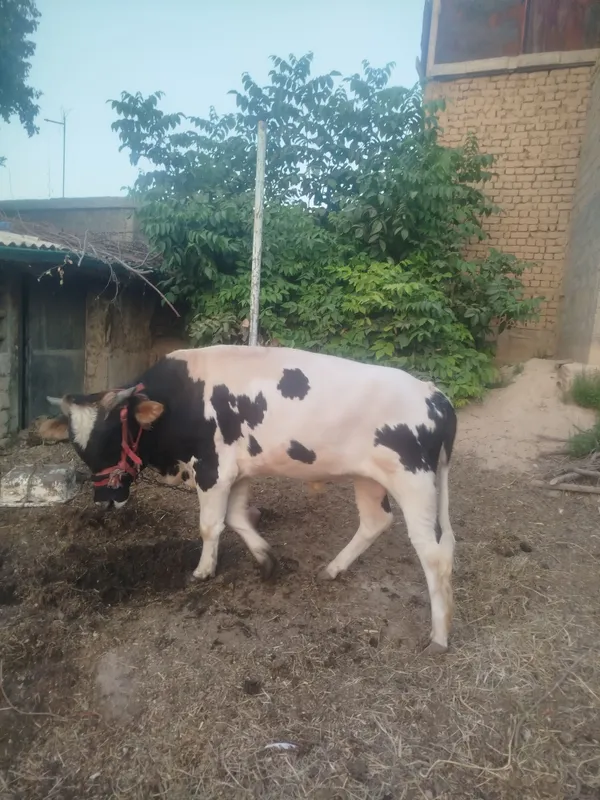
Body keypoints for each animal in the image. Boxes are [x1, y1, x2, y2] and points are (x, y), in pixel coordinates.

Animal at [39, 345, 457, 654]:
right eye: (79, 446)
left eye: (112, 436)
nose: (105, 500)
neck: (181, 397)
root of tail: (434, 394)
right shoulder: (237, 471)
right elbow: (237, 518)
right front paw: (266, 558)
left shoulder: (213, 469)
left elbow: (211, 525)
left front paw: (203, 571)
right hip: (369, 479)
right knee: (375, 522)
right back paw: (334, 569)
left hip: (414, 481)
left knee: (433, 552)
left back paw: (439, 636)